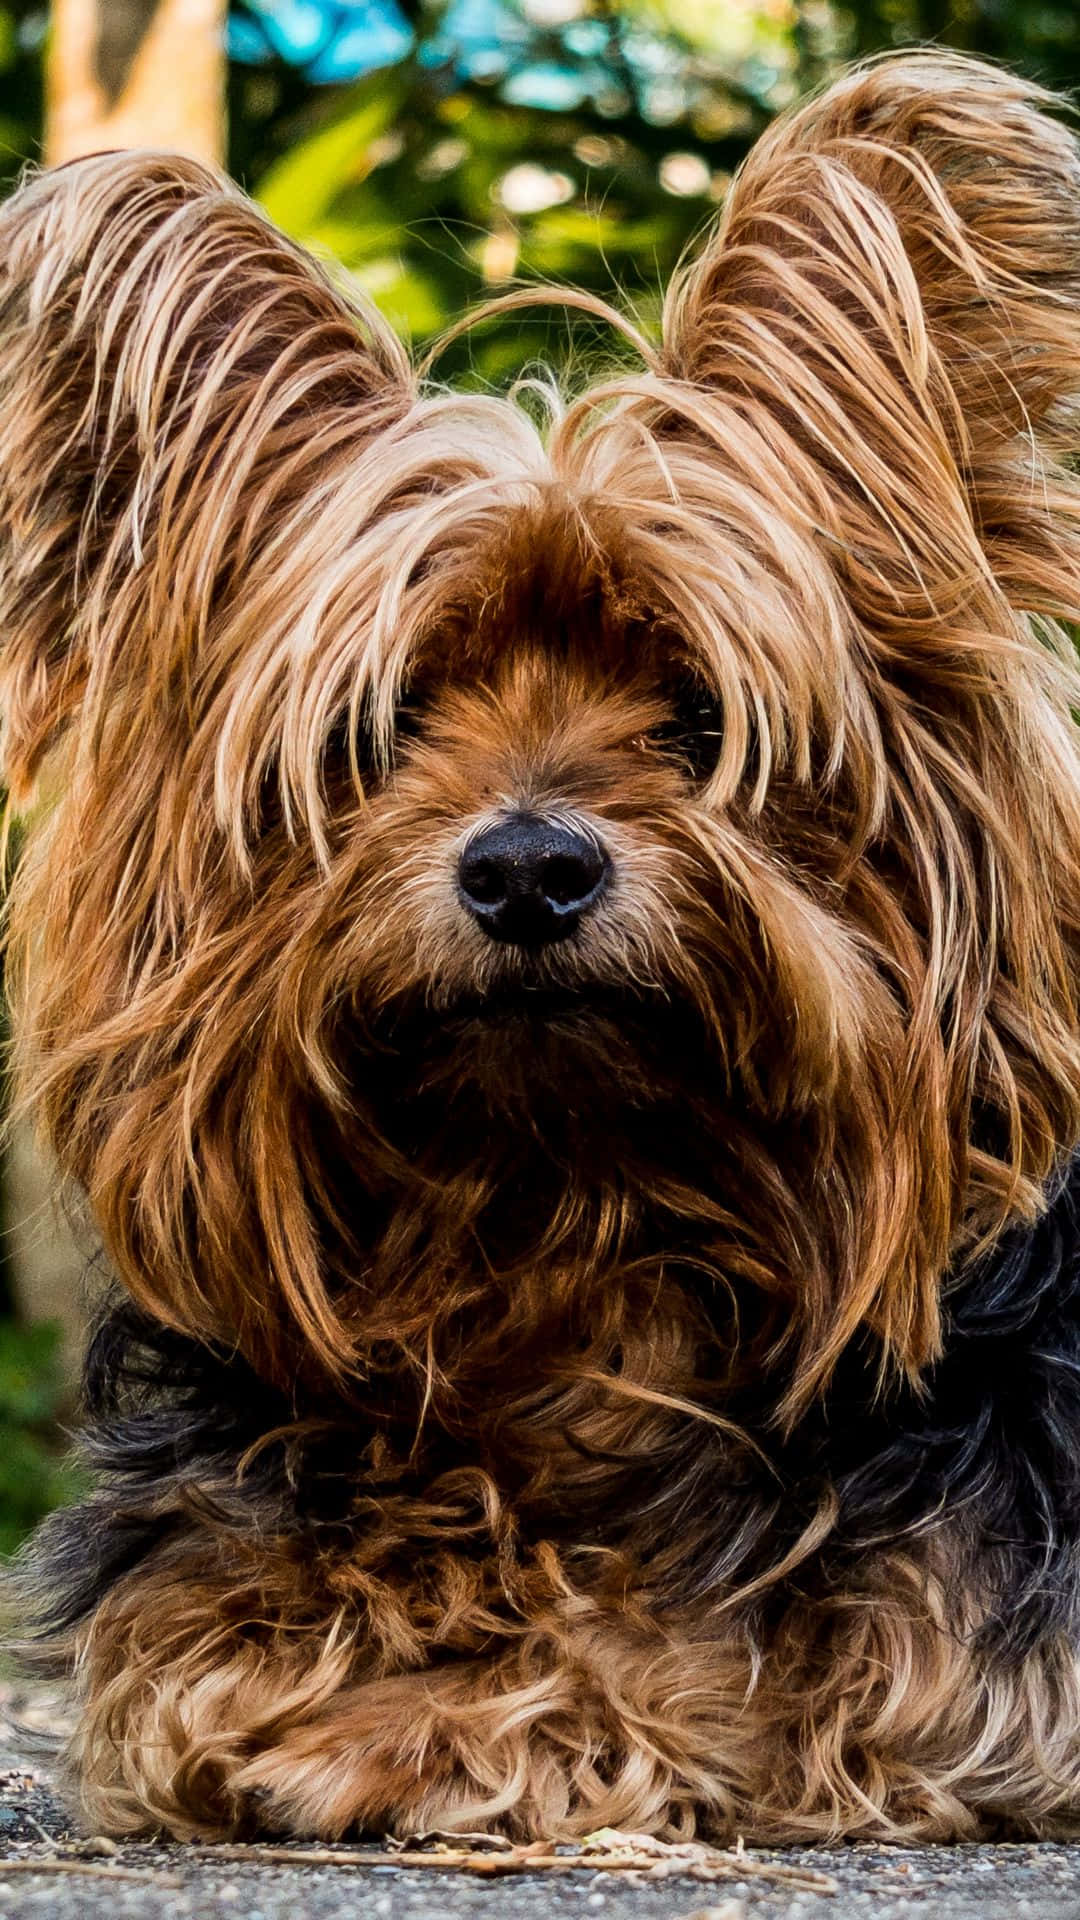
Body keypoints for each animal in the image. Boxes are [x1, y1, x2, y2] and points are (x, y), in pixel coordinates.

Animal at [0, 45, 1076, 1843]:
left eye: (697, 715)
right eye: (388, 724)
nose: (527, 870)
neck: (568, 1219)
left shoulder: (975, 1642)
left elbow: (737, 1665)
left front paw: (444, 1716)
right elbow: (209, 1657)